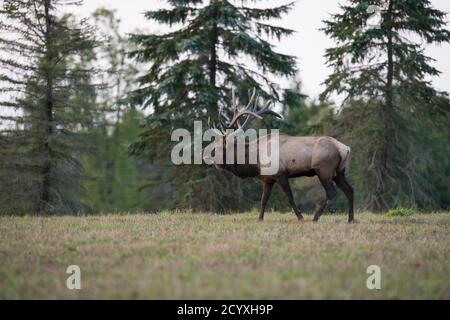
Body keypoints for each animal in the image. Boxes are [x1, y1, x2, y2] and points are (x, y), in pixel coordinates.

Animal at [204, 88, 356, 222]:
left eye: (217, 148)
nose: (204, 155)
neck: (255, 162)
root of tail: (345, 148)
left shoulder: (281, 173)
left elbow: (290, 197)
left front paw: (300, 217)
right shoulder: (268, 179)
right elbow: (263, 200)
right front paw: (260, 218)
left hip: (324, 170)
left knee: (332, 192)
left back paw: (315, 217)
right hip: (339, 172)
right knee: (350, 190)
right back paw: (350, 219)